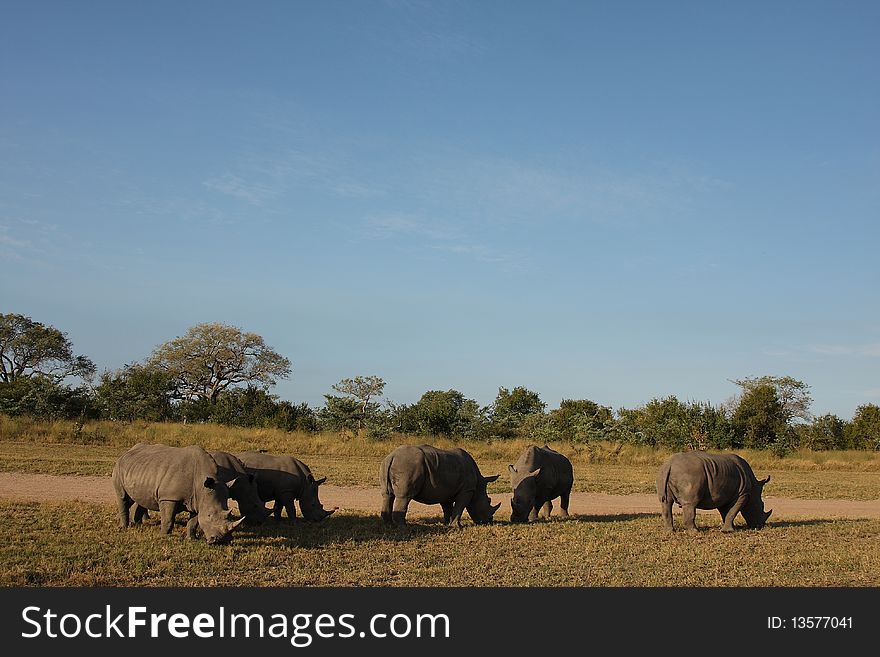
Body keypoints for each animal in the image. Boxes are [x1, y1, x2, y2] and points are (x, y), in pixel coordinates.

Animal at [113, 444, 246, 544]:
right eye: (209, 515)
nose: (222, 541)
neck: (201, 484)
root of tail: (126, 452)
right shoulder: (169, 497)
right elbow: (168, 519)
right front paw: (163, 537)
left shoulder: (197, 500)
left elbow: (194, 522)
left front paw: (191, 539)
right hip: (118, 467)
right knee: (123, 497)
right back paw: (124, 527)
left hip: (140, 470)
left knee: (137, 498)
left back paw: (137, 524)